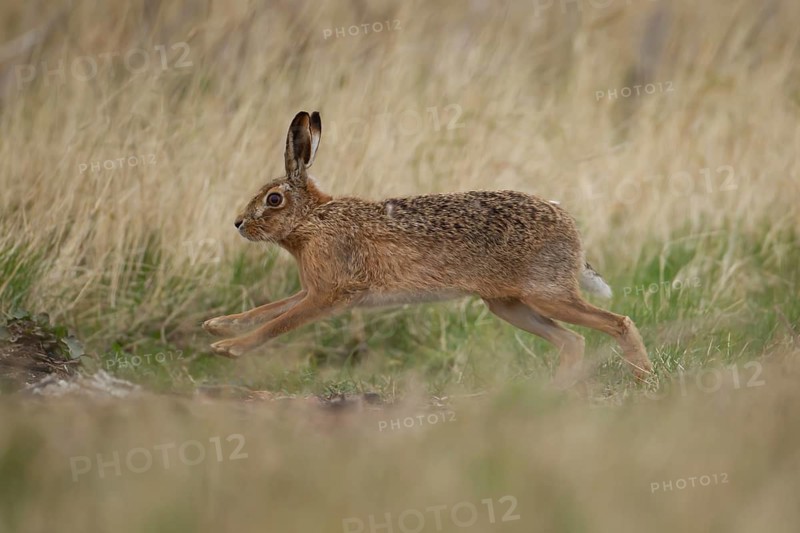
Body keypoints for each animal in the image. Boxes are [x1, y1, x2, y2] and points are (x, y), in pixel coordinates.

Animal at [203, 111, 653, 383]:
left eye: (273, 199)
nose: (239, 224)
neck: (313, 219)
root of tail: (569, 225)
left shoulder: (331, 293)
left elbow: (280, 322)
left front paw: (227, 348)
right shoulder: (313, 288)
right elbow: (270, 309)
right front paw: (219, 325)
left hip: (545, 292)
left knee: (617, 323)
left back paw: (642, 376)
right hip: (508, 304)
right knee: (572, 341)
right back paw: (557, 389)